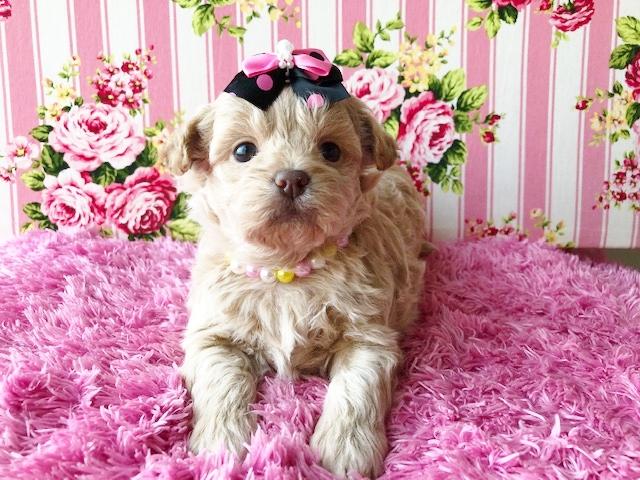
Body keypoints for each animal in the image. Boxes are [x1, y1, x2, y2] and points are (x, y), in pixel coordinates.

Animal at [162, 46, 426, 477]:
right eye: (243, 151)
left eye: (331, 150)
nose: (292, 179)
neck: (285, 270)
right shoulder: (212, 335)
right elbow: (222, 383)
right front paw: (224, 443)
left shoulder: (369, 338)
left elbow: (355, 391)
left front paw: (345, 451)